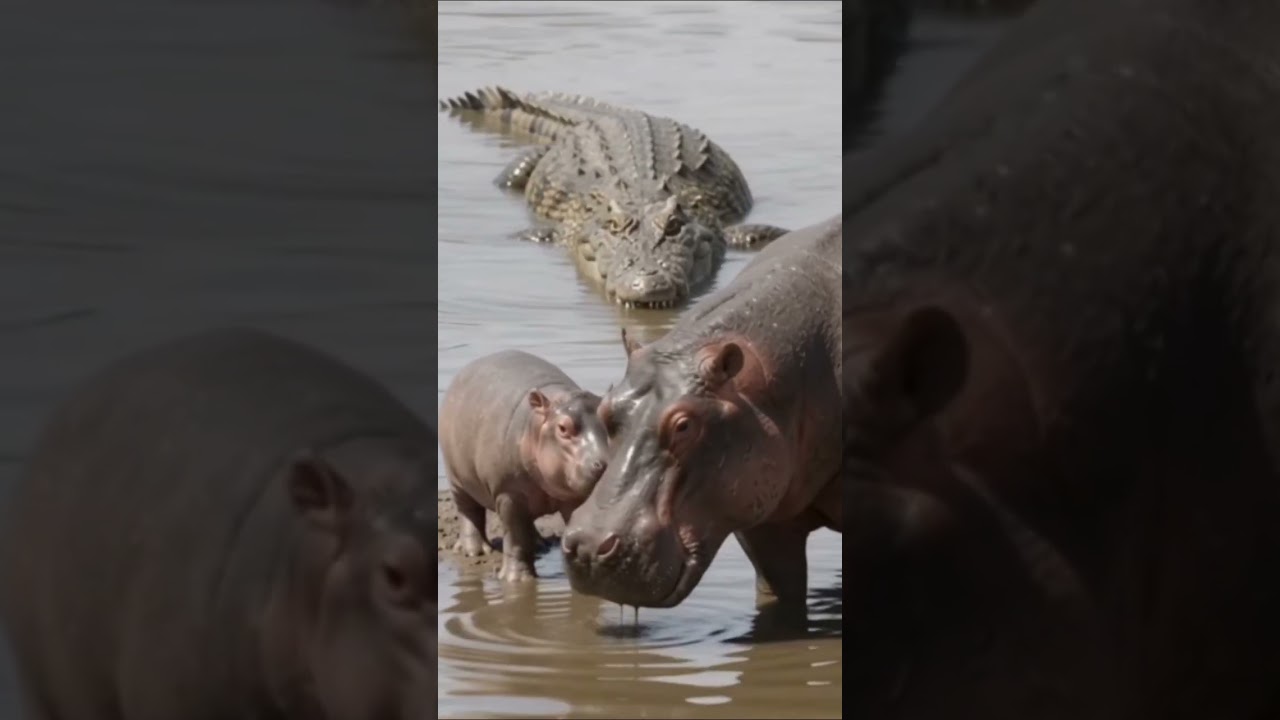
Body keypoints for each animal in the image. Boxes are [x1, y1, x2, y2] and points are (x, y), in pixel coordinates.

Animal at [440, 349, 610, 582]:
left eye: (610, 419)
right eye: (563, 428)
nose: (606, 463)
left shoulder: (573, 497)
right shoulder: (508, 494)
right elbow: (516, 538)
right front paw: (517, 580)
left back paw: (540, 545)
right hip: (457, 477)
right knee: (469, 511)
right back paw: (475, 551)